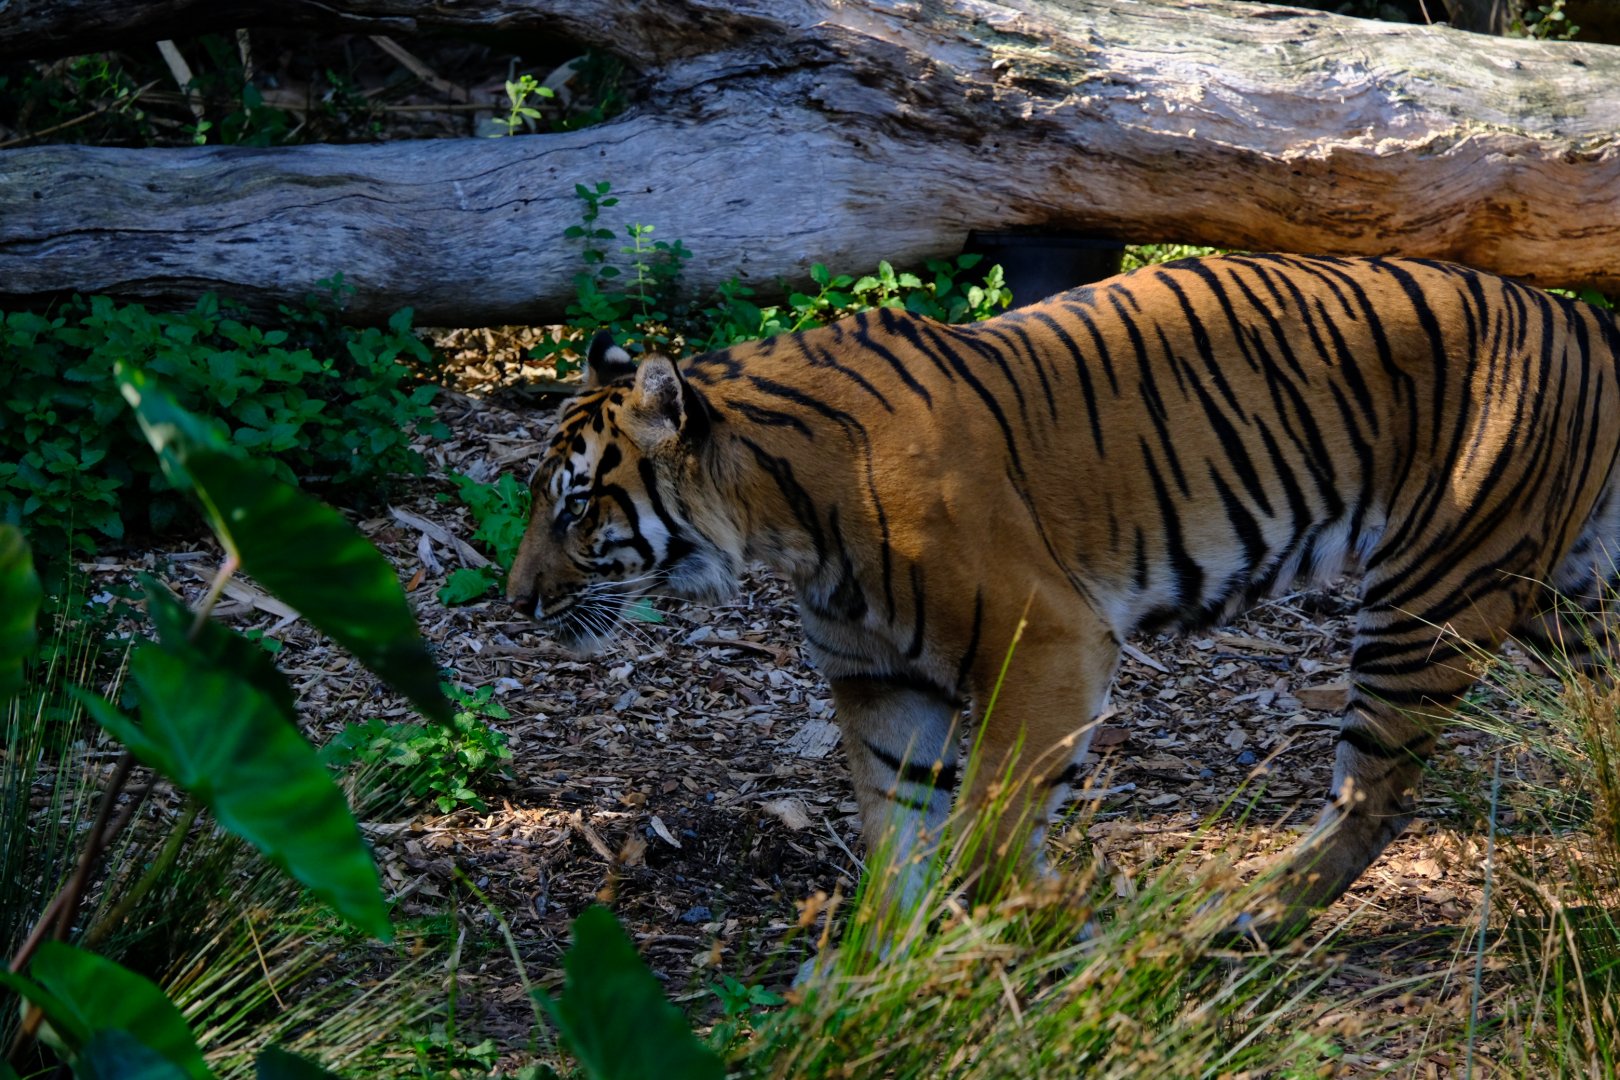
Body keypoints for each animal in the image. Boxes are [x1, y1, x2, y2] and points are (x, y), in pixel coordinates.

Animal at [506, 253, 1620, 941]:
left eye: (575, 505)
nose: (514, 605)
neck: (779, 517)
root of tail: (1584, 321)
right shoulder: (881, 683)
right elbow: (897, 831)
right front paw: (877, 968)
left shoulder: (1044, 637)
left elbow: (994, 820)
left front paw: (1047, 918)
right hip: (1563, 600)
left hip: (1433, 594)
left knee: (1374, 794)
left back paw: (1242, 916)